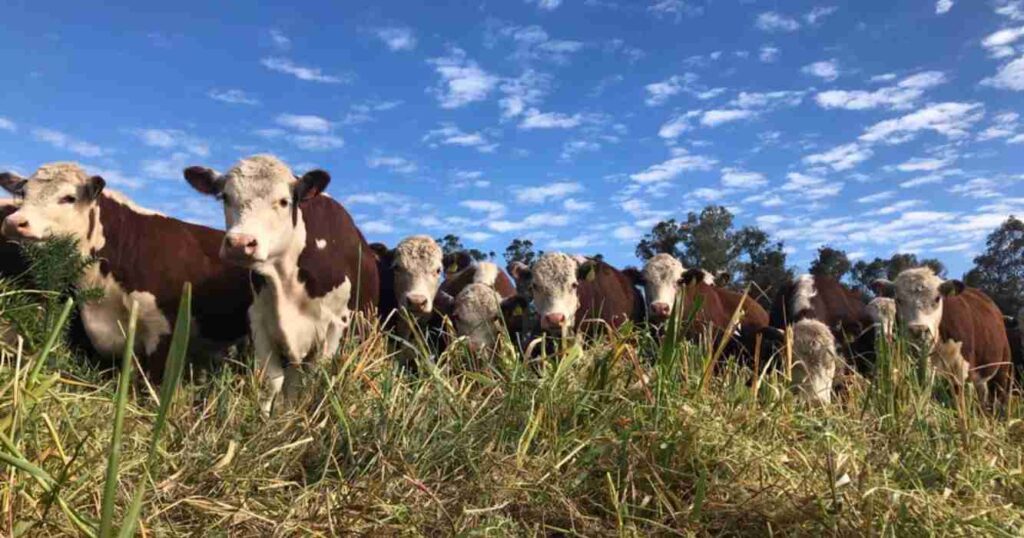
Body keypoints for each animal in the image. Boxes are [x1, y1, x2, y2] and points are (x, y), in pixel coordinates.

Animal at [182, 152, 378, 414]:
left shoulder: (336, 325)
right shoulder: (258, 320)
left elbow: (316, 379)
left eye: (284, 201)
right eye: (225, 196)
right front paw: (264, 419)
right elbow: (271, 382)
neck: (285, 278)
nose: (240, 243)